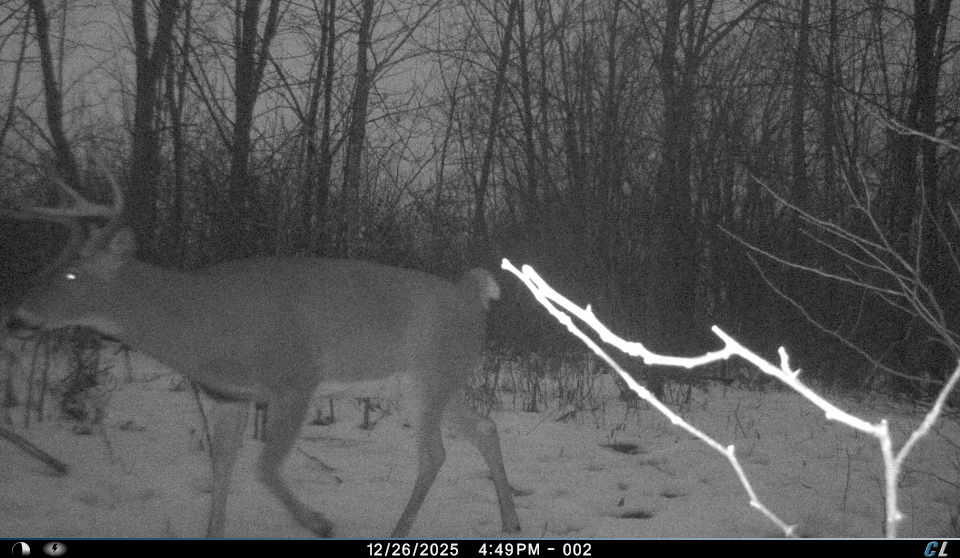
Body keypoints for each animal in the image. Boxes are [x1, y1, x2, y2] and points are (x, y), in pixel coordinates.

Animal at [7, 171, 521, 538]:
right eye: (52, 263)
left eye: (72, 274)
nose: (16, 317)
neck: (202, 323)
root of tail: (473, 296)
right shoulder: (228, 395)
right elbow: (223, 466)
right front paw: (213, 533)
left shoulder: (295, 379)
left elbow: (265, 466)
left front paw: (320, 523)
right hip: (436, 382)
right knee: (484, 428)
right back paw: (510, 521)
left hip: (430, 378)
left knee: (435, 453)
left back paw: (401, 530)